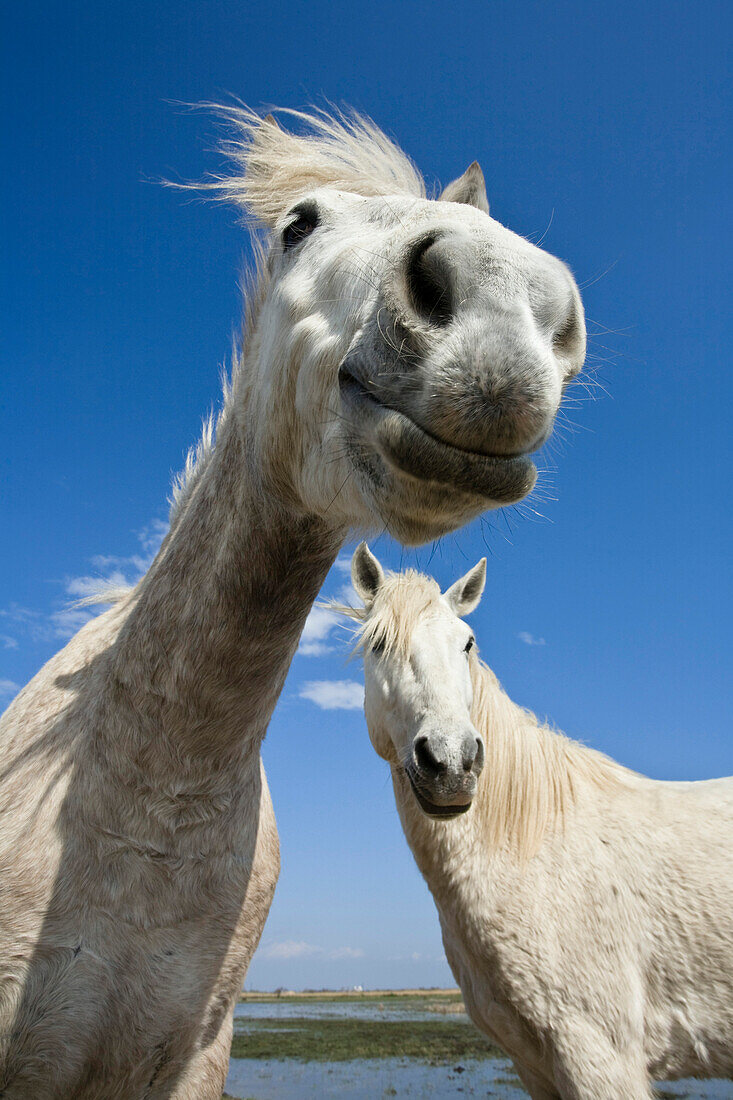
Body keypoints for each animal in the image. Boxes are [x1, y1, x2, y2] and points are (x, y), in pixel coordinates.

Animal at [343, 545, 730, 1100]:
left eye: (467, 643)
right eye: (378, 644)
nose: (452, 764)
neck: (534, 851)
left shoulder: (599, 1056)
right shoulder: (536, 1066)